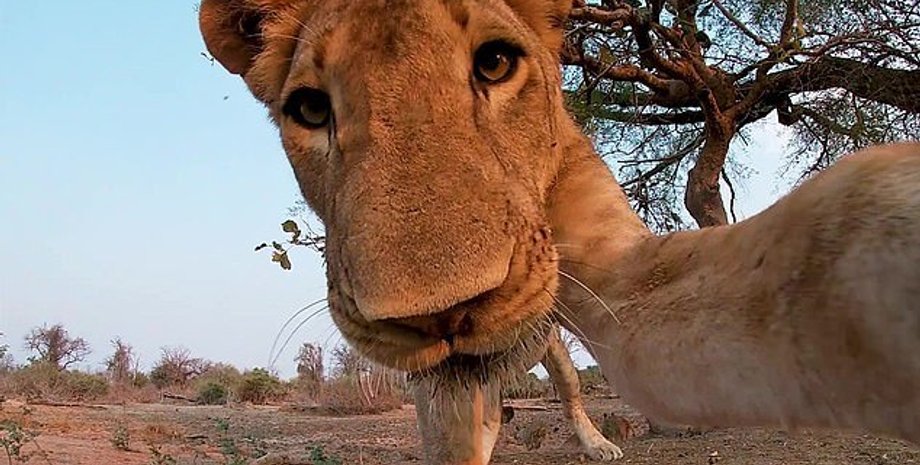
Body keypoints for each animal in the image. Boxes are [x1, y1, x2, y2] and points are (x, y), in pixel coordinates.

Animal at [198, 0, 920, 463]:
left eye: (495, 63)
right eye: (310, 107)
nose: (442, 316)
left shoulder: (618, 269)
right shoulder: (439, 393)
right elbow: (452, 435)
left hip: (552, 348)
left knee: (568, 391)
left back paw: (598, 443)